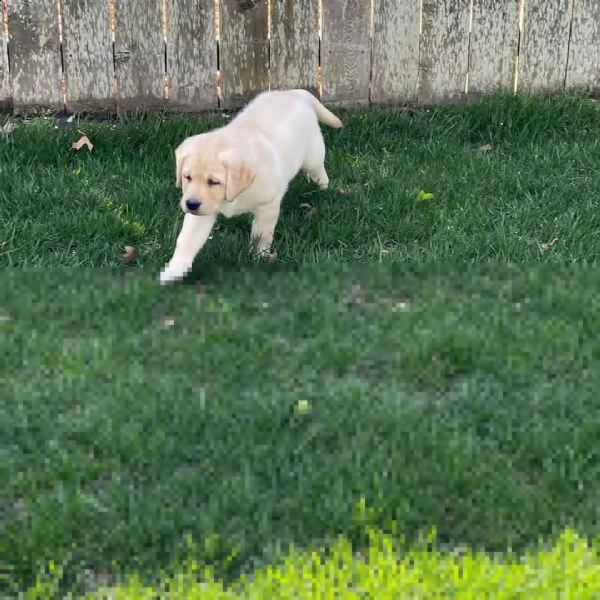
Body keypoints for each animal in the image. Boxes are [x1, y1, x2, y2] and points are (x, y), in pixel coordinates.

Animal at [159, 89, 342, 286]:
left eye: (213, 182)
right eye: (187, 177)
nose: (191, 204)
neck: (233, 195)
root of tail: (294, 92)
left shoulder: (267, 205)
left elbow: (262, 234)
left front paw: (259, 256)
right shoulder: (201, 212)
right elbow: (187, 239)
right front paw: (173, 270)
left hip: (312, 154)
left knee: (318, 170)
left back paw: (322, 187)